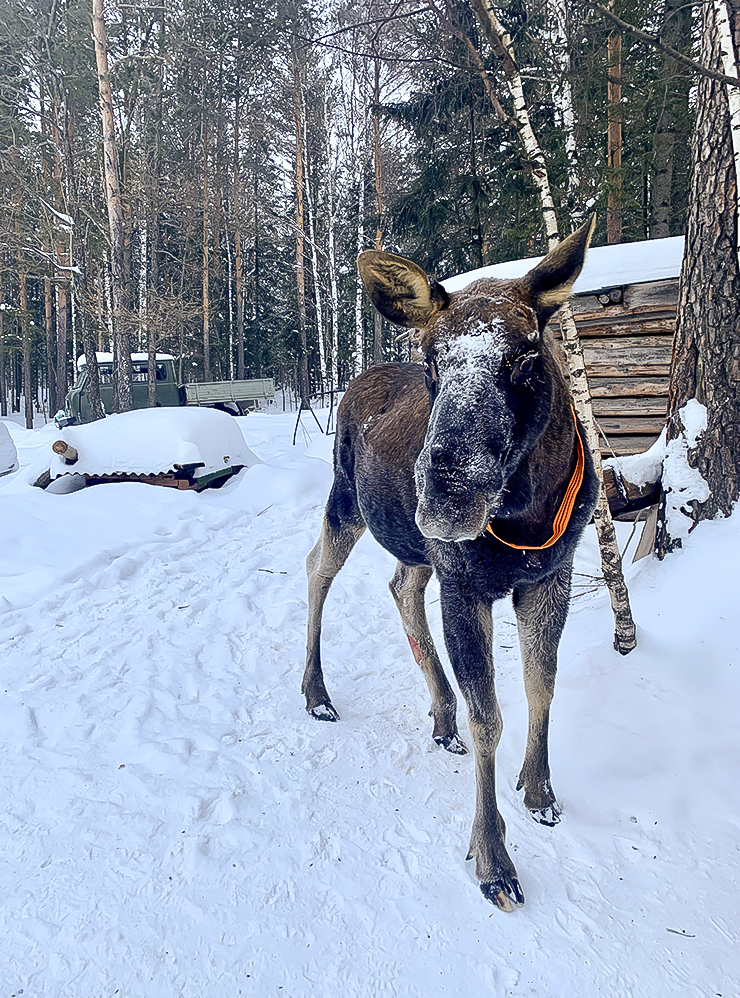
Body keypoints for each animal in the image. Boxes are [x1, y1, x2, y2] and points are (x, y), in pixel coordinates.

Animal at [304, 219, 600, 916]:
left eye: (525, 355)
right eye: (434, 361)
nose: (445, 493)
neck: (526, 513)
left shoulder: (549, 576)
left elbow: (541, 686)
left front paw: (540, 790)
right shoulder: (467, 585)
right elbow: (488, 717)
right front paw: (493, 858)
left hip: (414, 546)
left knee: (399, 585)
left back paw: (438, 713)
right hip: (347, 503)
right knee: (315, 571)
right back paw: (317, 693)